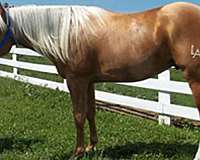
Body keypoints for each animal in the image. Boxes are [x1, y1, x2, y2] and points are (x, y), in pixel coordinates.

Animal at [0, 1, 200, 159]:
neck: (66, 34)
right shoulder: (89, 82)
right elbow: (90, 112)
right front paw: (91, 147)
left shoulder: (76, 81)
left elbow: (78, 115)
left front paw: (77, 152)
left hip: (195, 79)